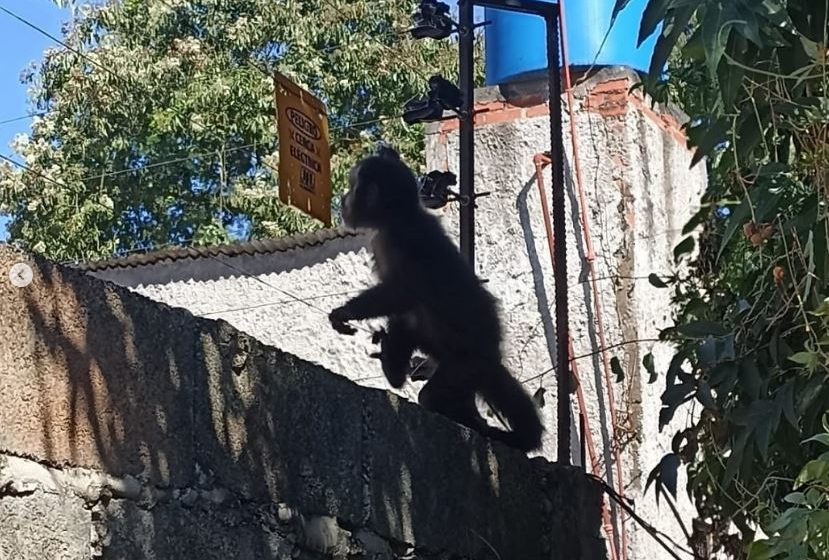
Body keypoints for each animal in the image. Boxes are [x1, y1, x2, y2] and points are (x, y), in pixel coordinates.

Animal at [330, 147, 544, 452]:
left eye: (352, 187)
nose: (344, 199)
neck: (398, 216)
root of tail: (492, 355)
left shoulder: (404, 239)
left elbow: (403, 293)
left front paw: (345, 312)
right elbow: (404, 308)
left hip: (467, 365)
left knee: (434, 393)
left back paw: (478, 425)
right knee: (413, 325)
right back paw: (396, 368)